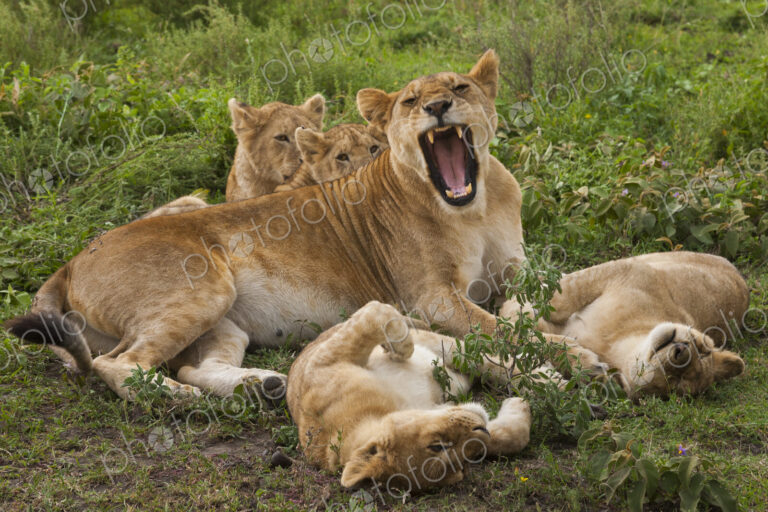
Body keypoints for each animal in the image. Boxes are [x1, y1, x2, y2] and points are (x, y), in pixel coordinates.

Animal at [5, 50, 588, 401]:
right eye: (409, 101)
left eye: (460, 87)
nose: (440, 106)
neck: (475, 206)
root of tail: (71, 260)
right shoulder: (431, 298)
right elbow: (499, 329)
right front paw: (576, 358)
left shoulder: (519, 269)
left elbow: (531, 307)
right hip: (201, 289)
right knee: (120, 364)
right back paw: (179, 400)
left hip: (223, 323)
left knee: (193, 364)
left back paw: (262, 385)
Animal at [287, 301, 532, 490]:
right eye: (462, 465)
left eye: (436, 446)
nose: (480, 429)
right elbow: (509, 436)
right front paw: (518, 406)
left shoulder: (327, 359)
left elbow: (376, 313)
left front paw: (396, 349)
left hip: (443, 345)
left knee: (482, 357)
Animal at [500, 252, 748, 398]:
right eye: (702, 349)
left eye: (675, 382)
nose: (681, 351)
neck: (615, 344)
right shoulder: (630, 271)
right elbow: (563, 295)